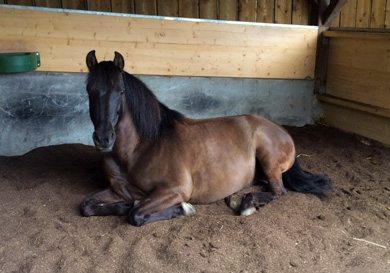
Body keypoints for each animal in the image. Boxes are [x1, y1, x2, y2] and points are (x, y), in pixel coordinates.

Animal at [80, 50, 330, 225]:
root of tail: (281, 130)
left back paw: (246, 205)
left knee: (278, 191)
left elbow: (137, 214)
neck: (141, 148)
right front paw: (123, 206)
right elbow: (87, 206)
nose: (104, 139)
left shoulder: (175, 190)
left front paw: (183, 209)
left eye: (121, 91)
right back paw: (236, 199)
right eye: (90, 91)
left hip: (268, 159)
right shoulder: (117, 191)